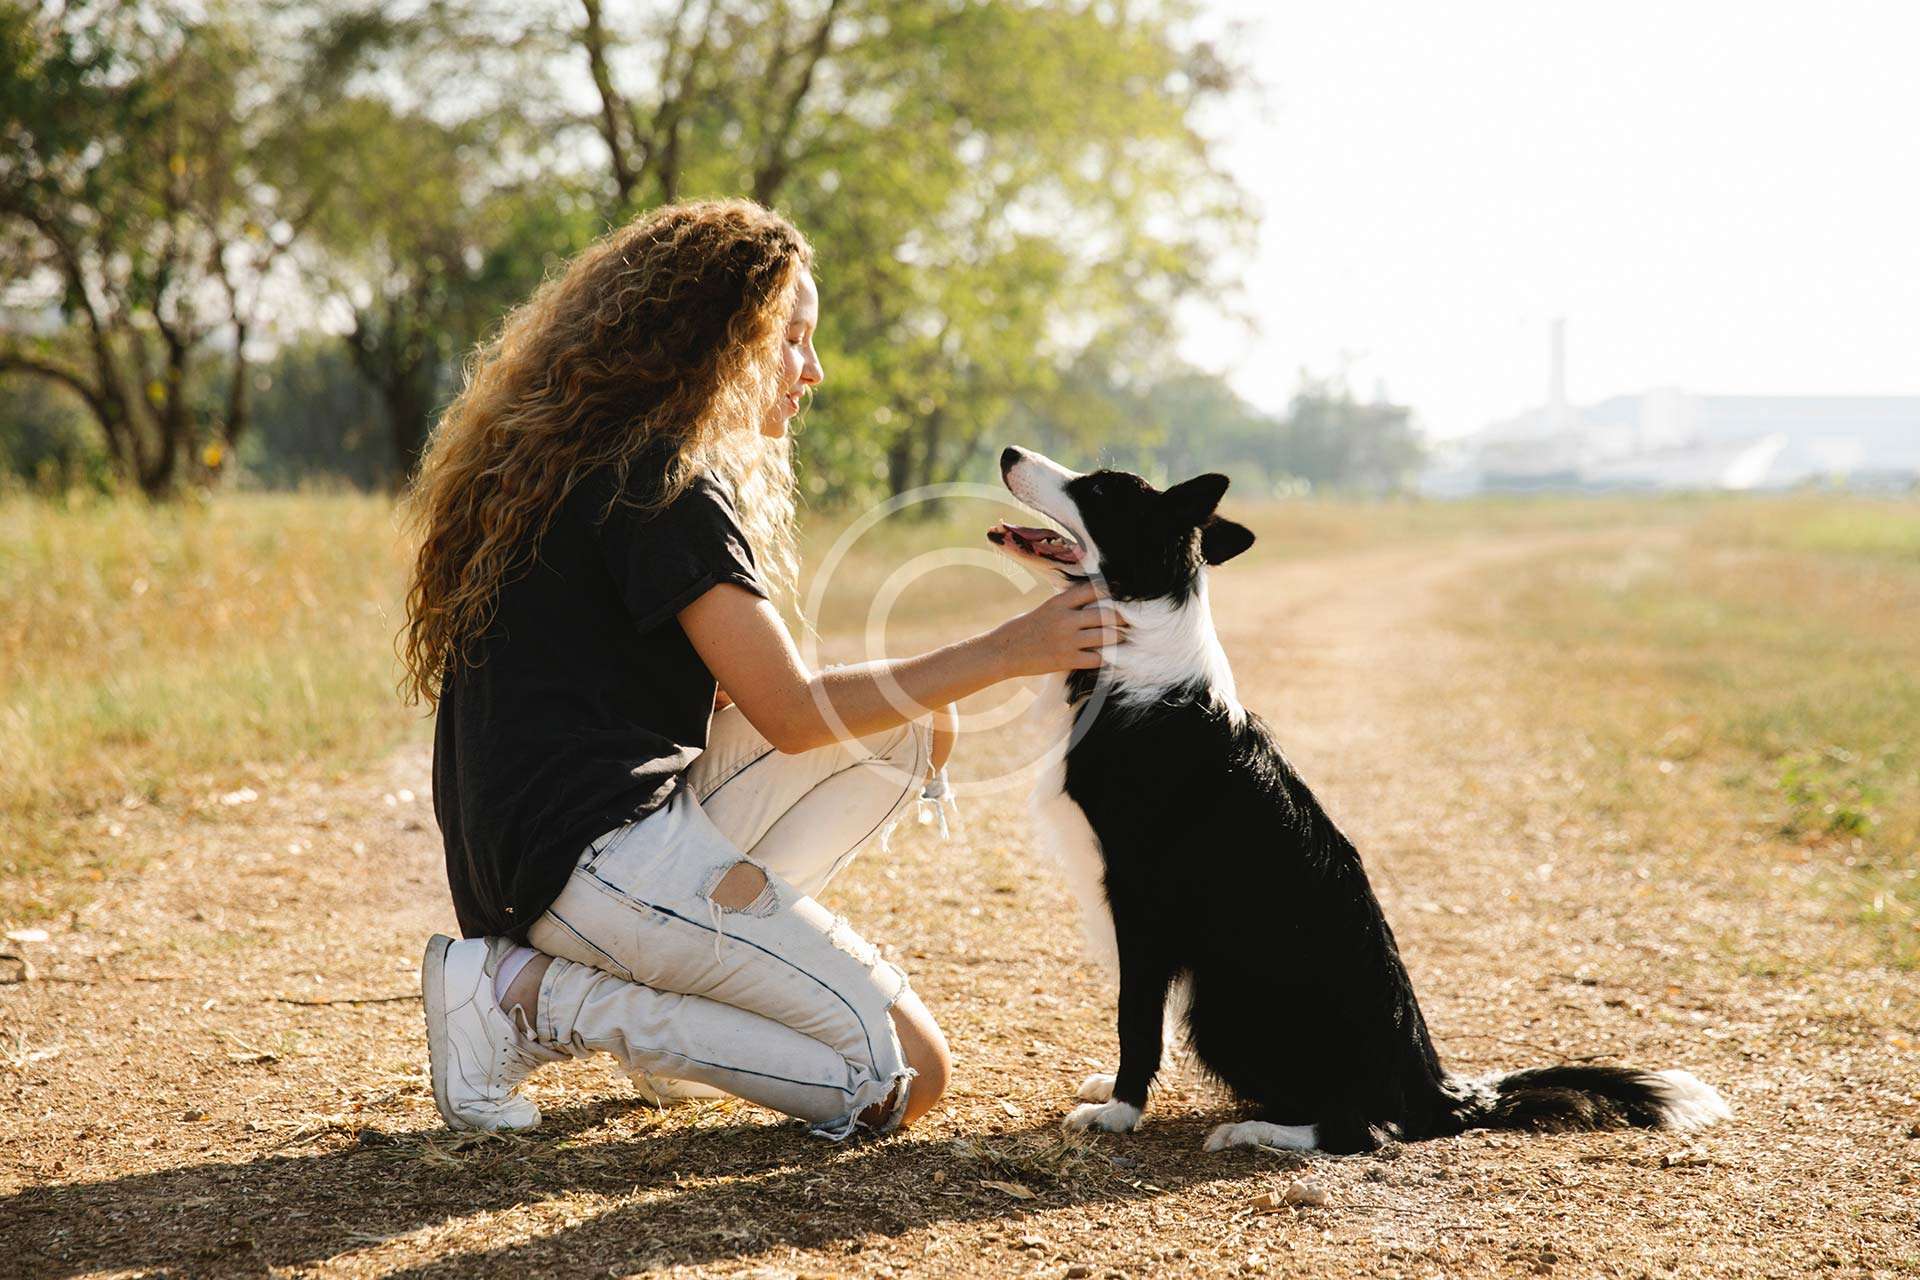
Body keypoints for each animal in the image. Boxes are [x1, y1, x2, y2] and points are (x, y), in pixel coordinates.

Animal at [990, 445, 1728, 1159]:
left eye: (1098, 489)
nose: (1007, 452)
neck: (1138, 641)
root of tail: (1436, 1088)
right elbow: (1142, 1017)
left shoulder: (1140, 899)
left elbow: (1136, 1016)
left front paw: (1120, 1110)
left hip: (1227, 1005)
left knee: (1361, 1130)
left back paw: (1255, 1131)